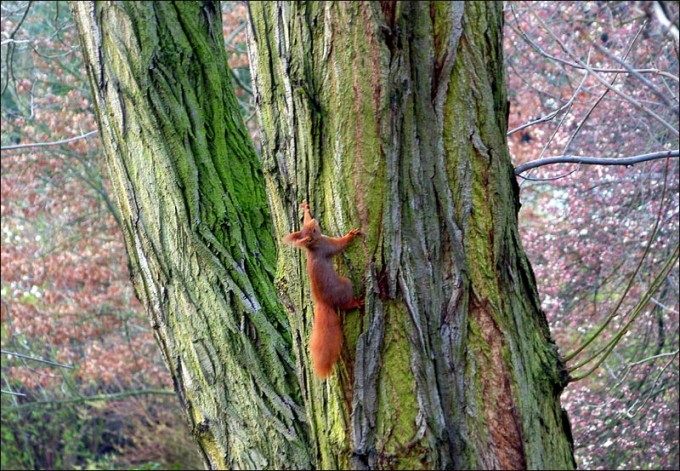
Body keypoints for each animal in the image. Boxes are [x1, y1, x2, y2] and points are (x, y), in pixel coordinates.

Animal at [283, 200, 363, 379]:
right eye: (313, 231)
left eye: (309, 227)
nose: (315, 222)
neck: (312, 246)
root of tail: (323, 301)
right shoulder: (327, 246)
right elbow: (340, 245)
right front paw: (350, 235)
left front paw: (305, 208)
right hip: (345, 285)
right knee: (345, 304)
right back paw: (356, 303)